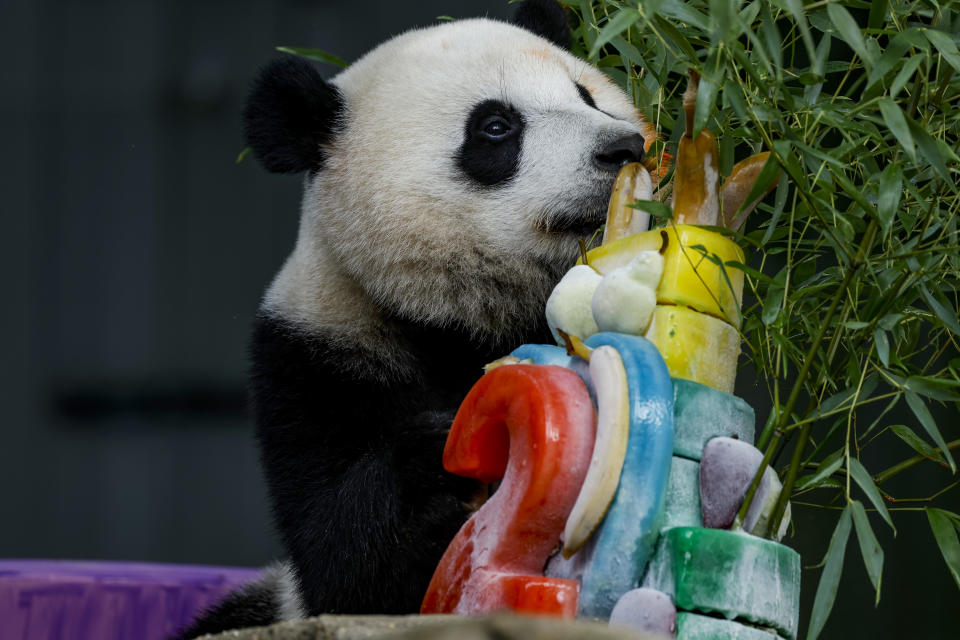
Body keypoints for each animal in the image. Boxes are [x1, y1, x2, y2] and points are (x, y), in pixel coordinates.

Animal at [176, 2, 656, 636]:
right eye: (495, 126)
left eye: (587, 95)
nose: (623, 148)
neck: (462, 315)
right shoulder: (313, 357)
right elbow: (344, 566)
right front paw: (432, 453)